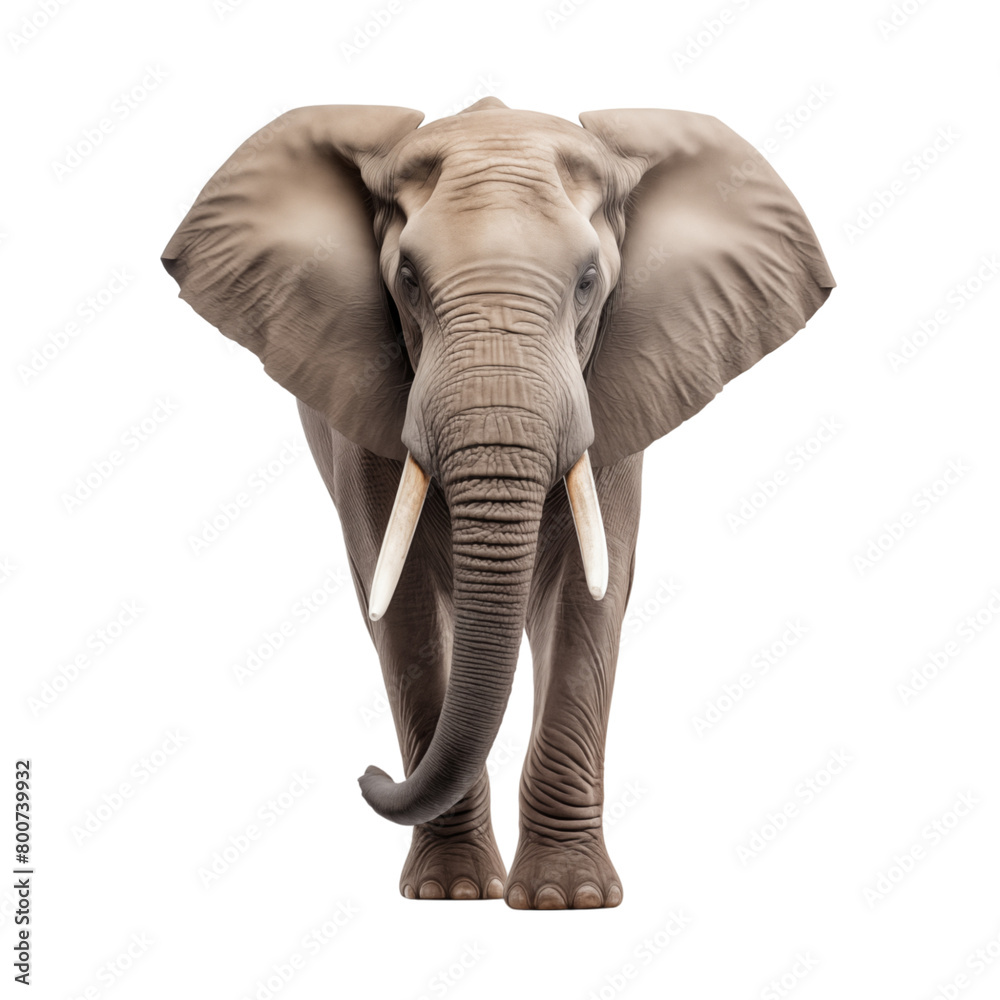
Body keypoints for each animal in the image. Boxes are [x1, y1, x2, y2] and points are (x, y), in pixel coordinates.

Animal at [162, 97, 834, 909]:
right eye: (408, 278)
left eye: (588, 280)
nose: (368, 774)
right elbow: (404, 604)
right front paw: (451, 892)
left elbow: (588, 597)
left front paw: (567, 900)